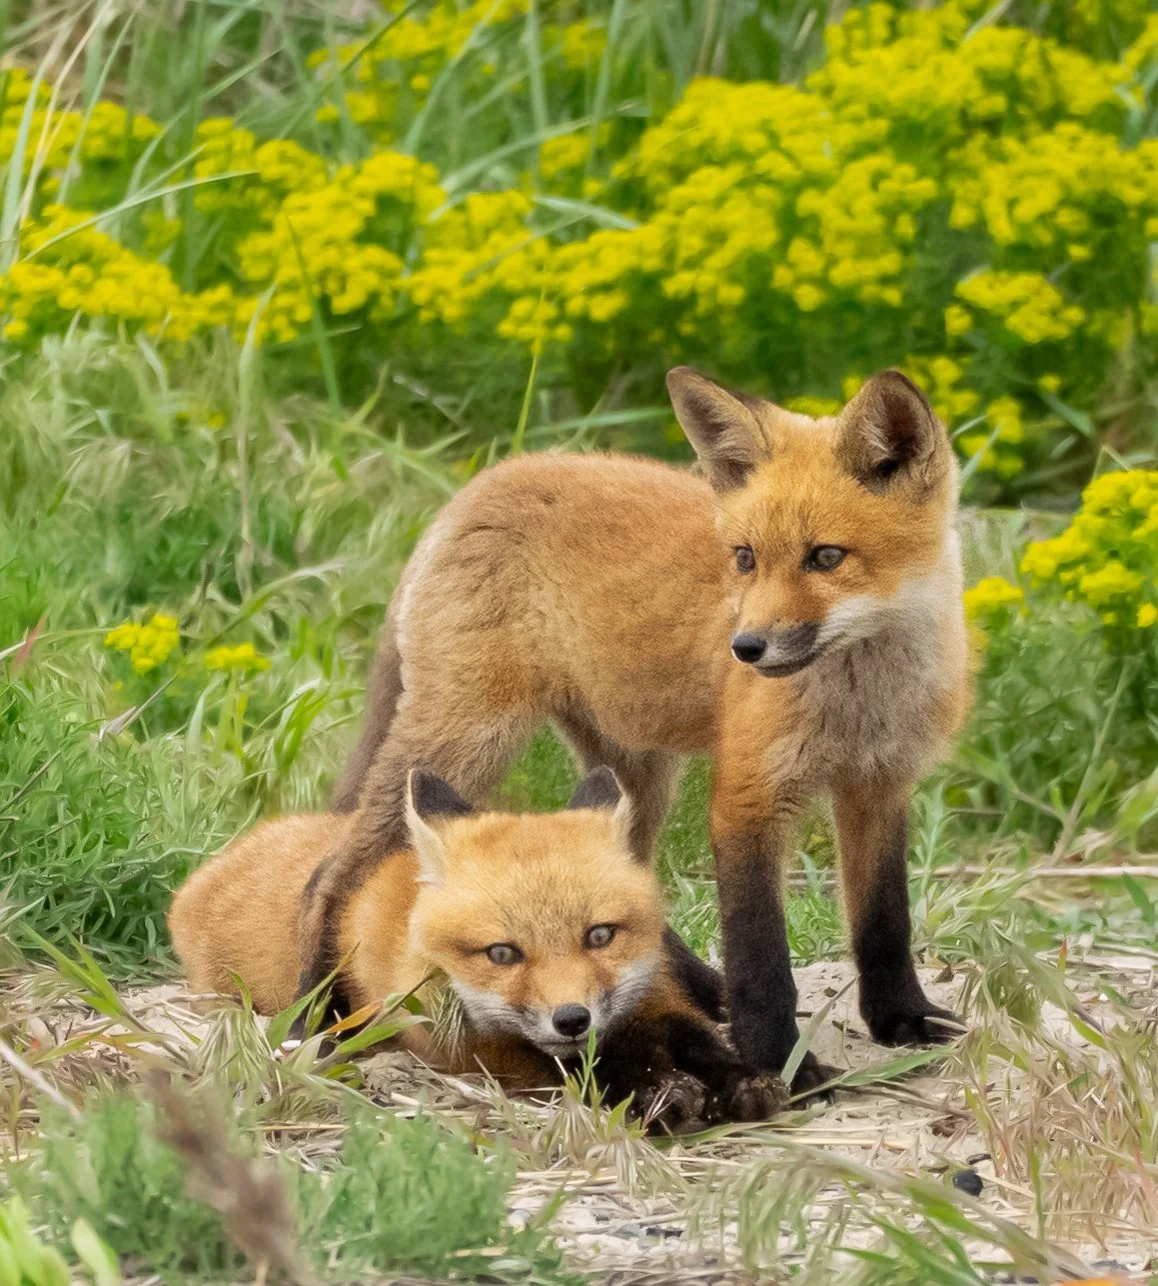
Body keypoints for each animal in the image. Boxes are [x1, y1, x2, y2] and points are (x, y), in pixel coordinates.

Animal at [169, 766, 783, 1124]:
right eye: (502, 953)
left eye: (600, 936)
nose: (572, 1019)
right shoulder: (475, 1053)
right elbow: (591, 1074)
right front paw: (659, 1094)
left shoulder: (657, 1002)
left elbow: (706, 1046)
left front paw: (745, 1082)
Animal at [301, 368, 971, 1092]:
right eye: (744, 558)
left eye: (826, 557)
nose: (746, 648)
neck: (861, 697)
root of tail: (480, 485)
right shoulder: (749, 795)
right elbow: (761, 954)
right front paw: (780, 1062)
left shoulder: (881, 784)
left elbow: (884, 922)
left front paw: (901, 1019)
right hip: (466, 739)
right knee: (329, 875)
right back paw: (312, 1016)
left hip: (636, 775)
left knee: (628, 888)